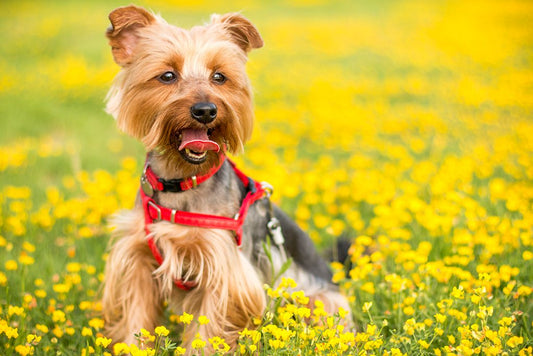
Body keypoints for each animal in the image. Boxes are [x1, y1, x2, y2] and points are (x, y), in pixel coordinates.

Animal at [100, 4, 352, 350]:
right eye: (167, 75)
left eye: (219, 76)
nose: (206, 110)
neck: (182, 182)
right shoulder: (138, 258)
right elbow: (137, 318)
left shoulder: (225, 270)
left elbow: (209, 331)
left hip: (318, 299)